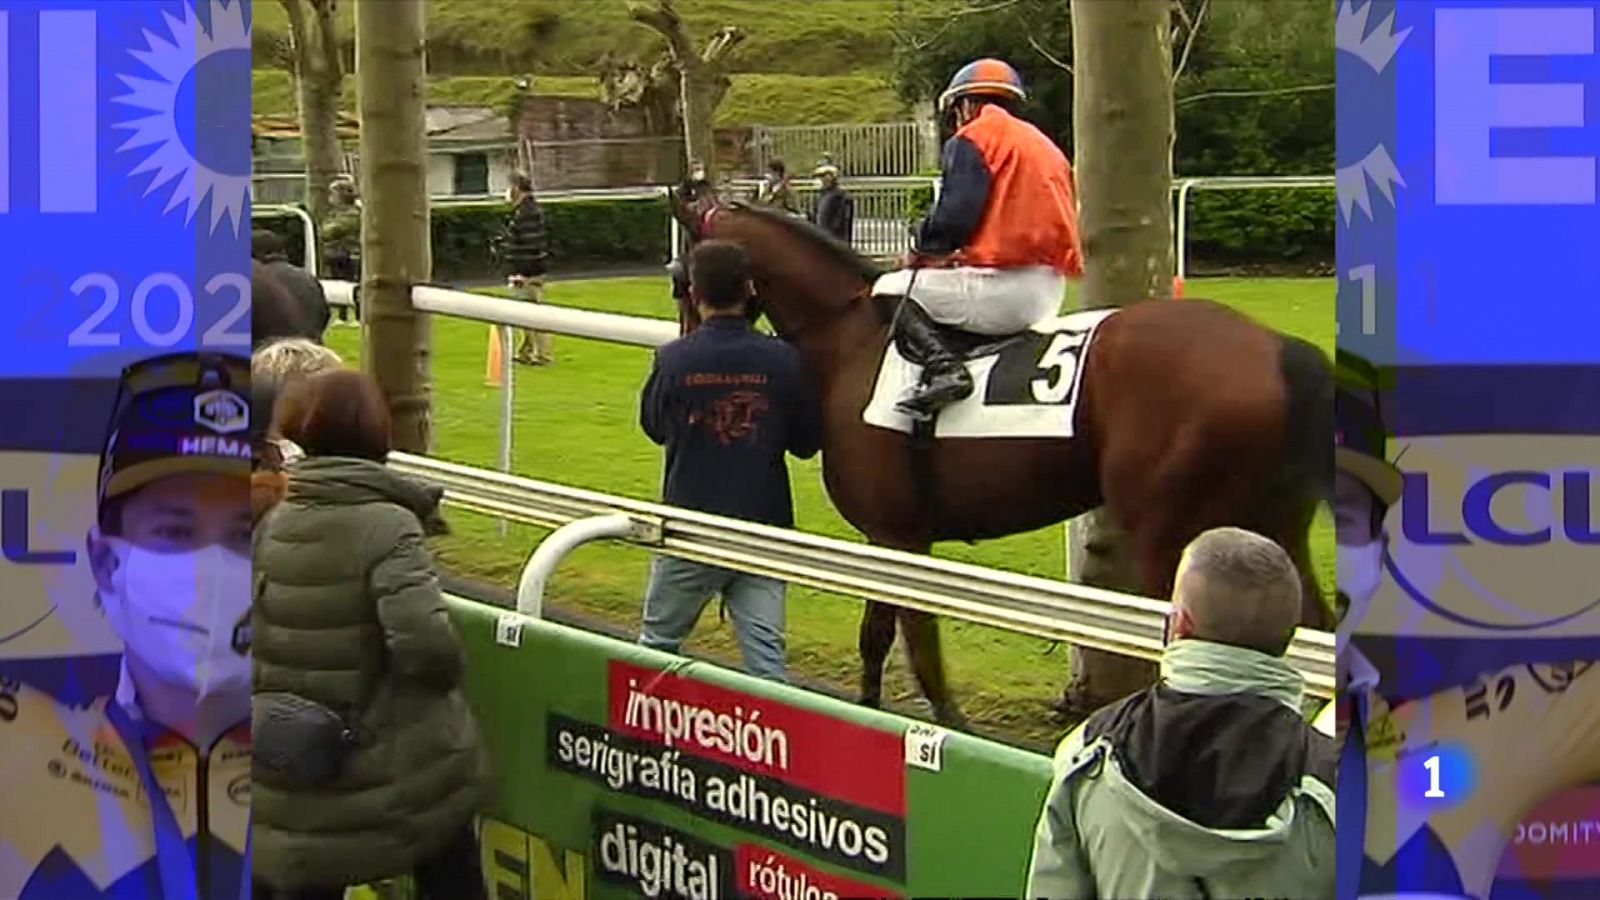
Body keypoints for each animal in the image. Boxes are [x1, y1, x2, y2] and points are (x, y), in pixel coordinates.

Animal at [668, 185, 1331, 723]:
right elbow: (876, 635)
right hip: (1271, 529)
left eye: (679, 278)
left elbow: (919, 643)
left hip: (1175, 535)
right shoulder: (884, 537)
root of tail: (1277, 347)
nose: (687, 341)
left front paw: (948, 725)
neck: (852, 340)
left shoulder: (901, 536)